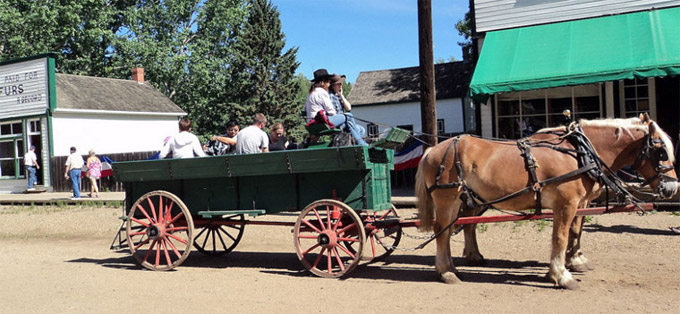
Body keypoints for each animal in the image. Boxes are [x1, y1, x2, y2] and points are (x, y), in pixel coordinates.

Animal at [418, 113, 676, 290]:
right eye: (661, 151)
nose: (672, 188)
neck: (580, 152)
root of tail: (433, 149)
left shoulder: (579, 203)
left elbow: (575, 231)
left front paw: (574, 262)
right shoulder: (566, 204)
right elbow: (560, 238)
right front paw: (561, 275)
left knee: (459, 227)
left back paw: (460, 263)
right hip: (448, 198)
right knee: (443, 231)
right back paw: (447, 272)